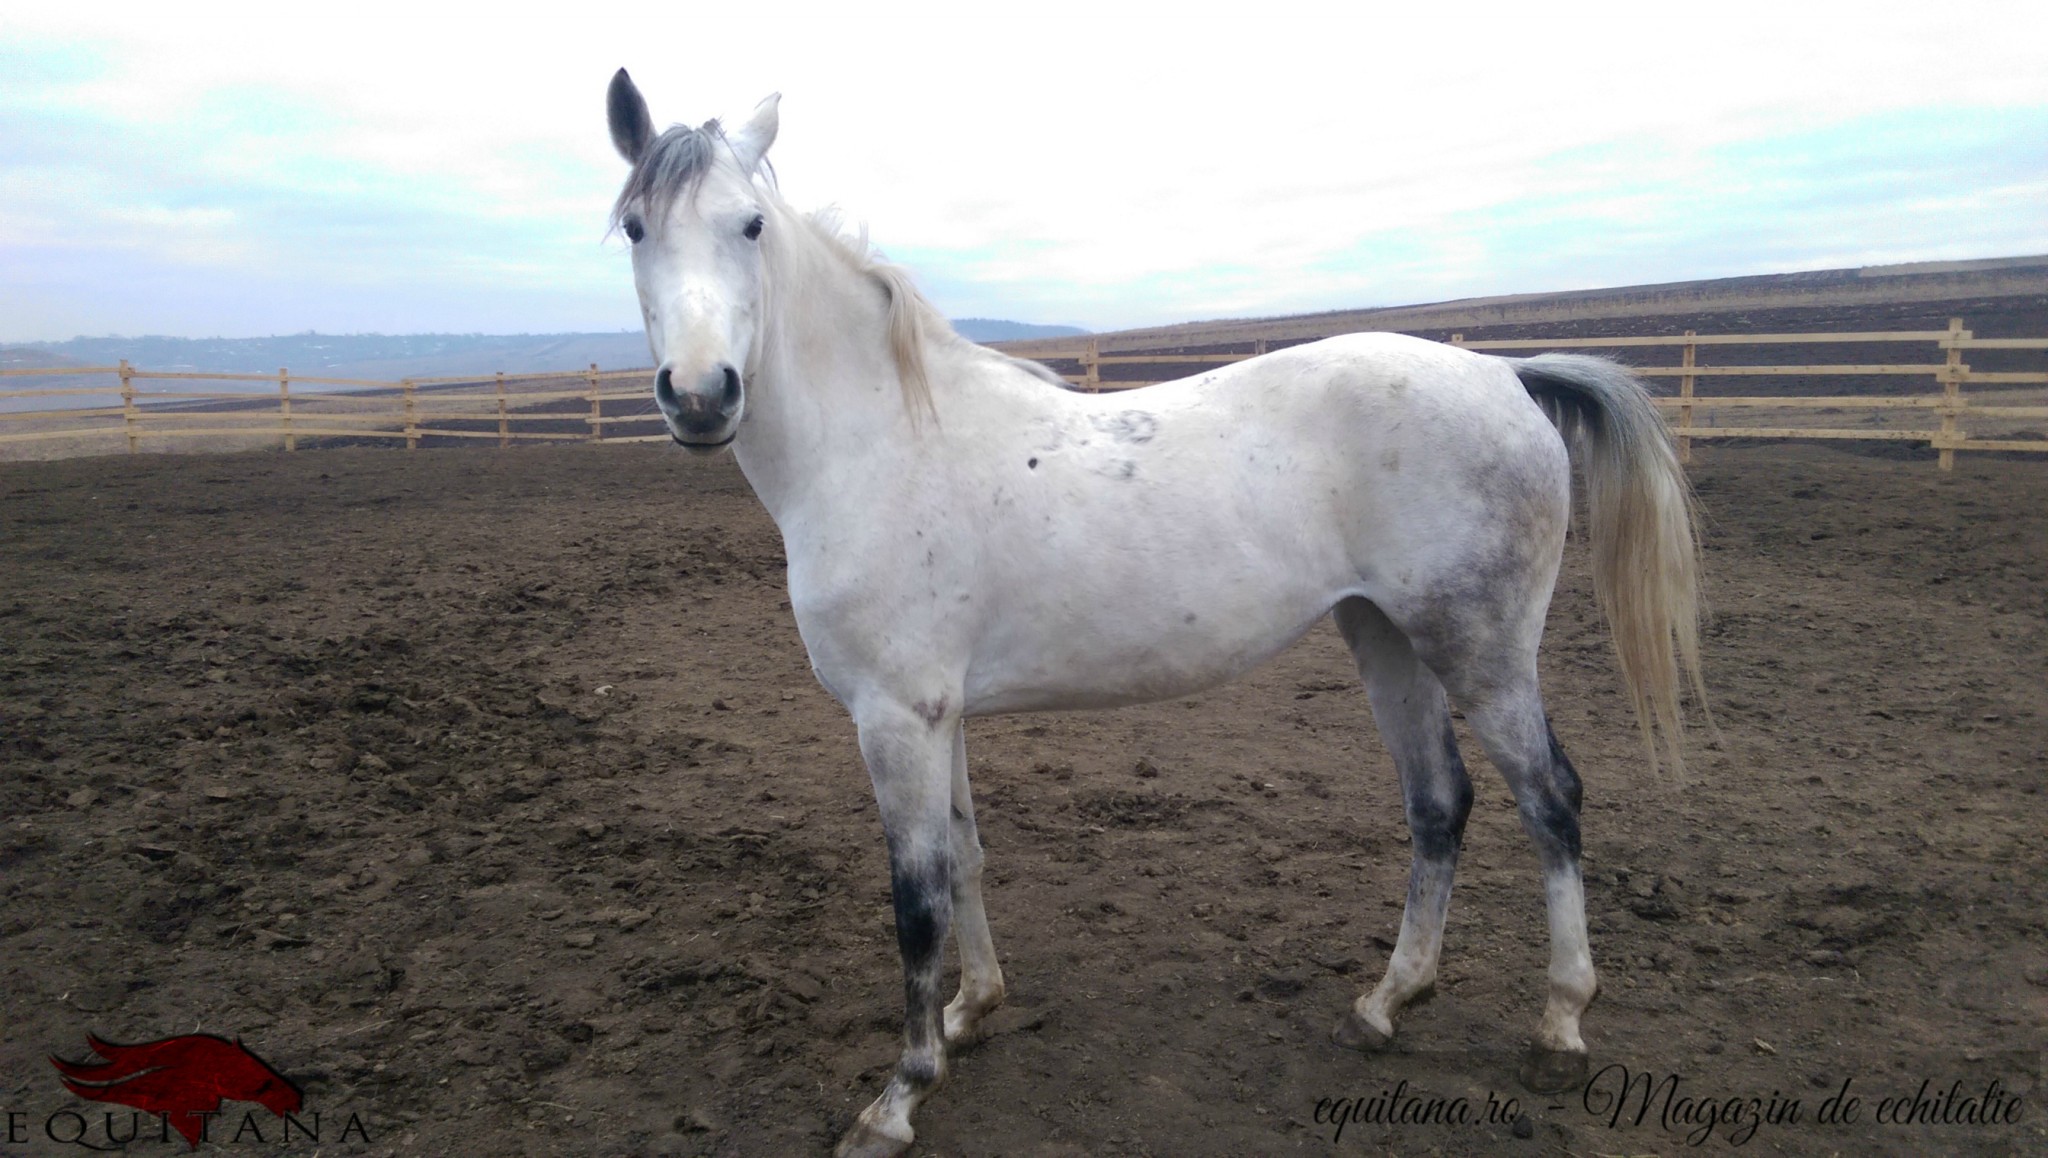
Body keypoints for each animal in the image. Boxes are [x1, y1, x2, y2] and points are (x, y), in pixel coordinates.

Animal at [598, 72, 1703, 1155]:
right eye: (636, 227)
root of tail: (1501, 372)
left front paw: (899, 1096)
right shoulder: (936, 715)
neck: (881, 442)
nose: (700, 396)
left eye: (749, 225)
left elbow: (915, 903)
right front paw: (971, 1012)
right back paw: (1386, 1004)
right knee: (1439, 803)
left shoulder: (894, 718)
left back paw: (1557, 1025)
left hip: (1479, 649)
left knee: (1549, 800)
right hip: (1385, 637)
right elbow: (963, 859)